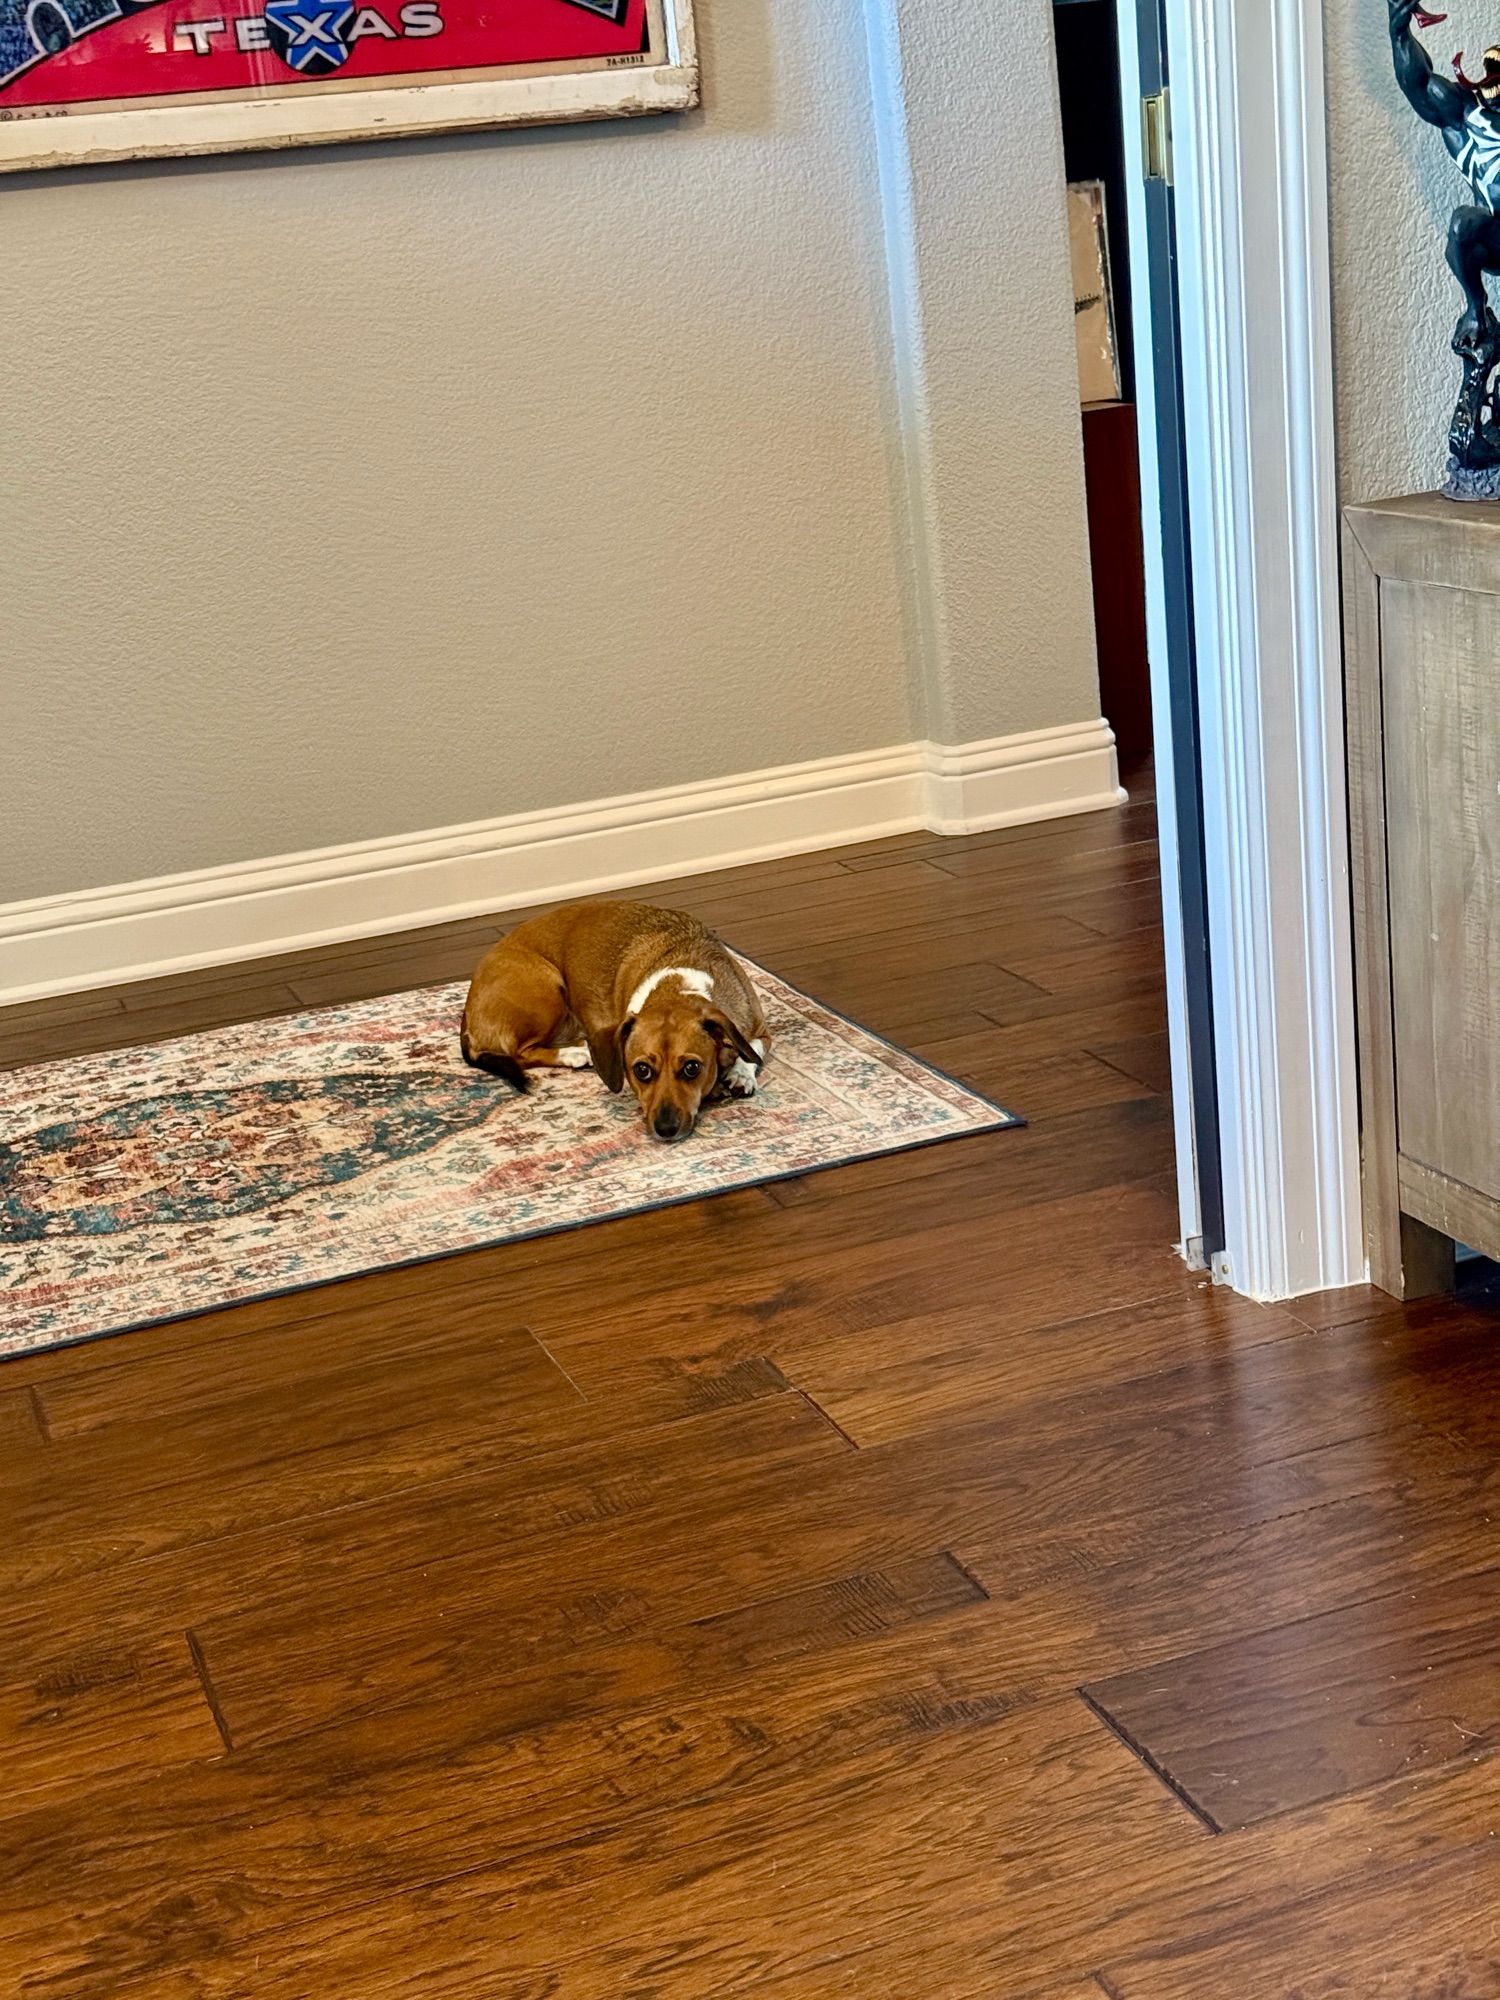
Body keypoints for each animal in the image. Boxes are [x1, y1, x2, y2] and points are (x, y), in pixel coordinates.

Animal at [462, 904, 768, 1144]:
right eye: (641, 1070)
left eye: (692, 1068)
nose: (665, 1129)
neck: (678, 984)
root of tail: (468, 1012)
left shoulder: (761, 1030)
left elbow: (752, 1049)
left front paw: (740, 1074)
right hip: (547, 988)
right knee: (520, 1052)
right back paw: (576, 1052)